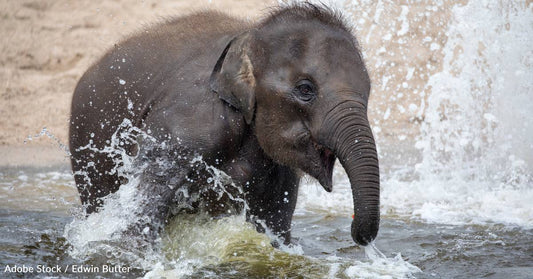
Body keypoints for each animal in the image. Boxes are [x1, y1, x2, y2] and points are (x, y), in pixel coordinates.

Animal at [69, 3, 378, 246]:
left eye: (368, 92)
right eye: (305, 89)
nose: (356, 233)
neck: (249, 35)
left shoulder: (283, 177)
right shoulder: (184, 131)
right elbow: (138, 217)